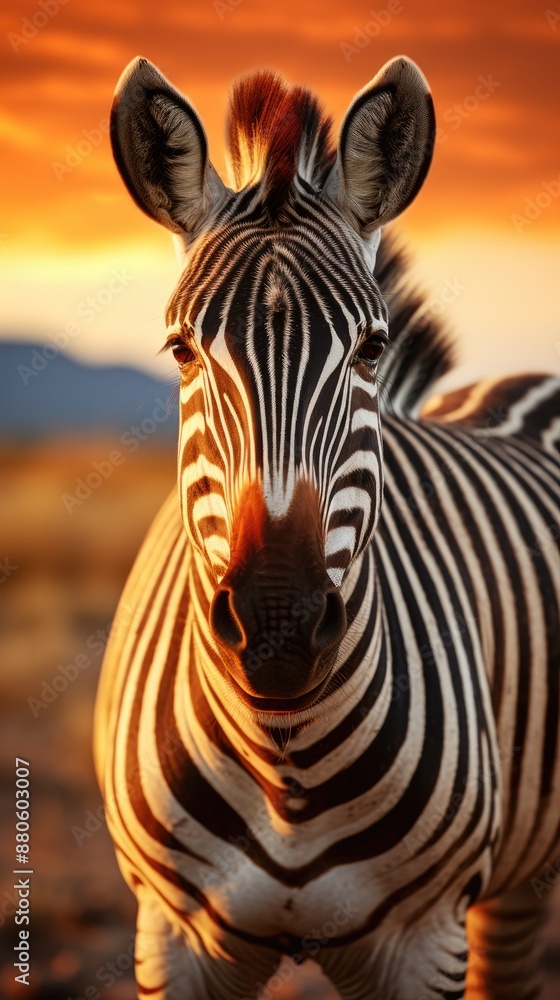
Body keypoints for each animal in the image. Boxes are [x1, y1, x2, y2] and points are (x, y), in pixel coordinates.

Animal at [94, 53, 560, 1000]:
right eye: (181, 352)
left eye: (372, 350)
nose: (276, 627)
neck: (286, 767)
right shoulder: (170, 933)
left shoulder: (425, 940)